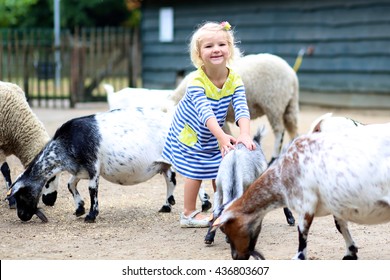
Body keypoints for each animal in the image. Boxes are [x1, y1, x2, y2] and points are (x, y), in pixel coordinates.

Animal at [6, 107, 177, 223]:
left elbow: (92, 189)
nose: (22, 216)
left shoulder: (93, 165)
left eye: (21, 195)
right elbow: (70, 184)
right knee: (170, 179)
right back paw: (168, 205)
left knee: (173, 180)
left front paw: (91, 215)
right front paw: (79, 209)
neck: (65, 145)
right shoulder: (80, 170)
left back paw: (169, 206)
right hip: (163, 164)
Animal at [212, 122, 390, 260]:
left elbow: (301, 243)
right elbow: (340, 226)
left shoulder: (305, 205)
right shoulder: (336, 205)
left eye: (226, 228)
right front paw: (350, 252)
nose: (236, 256)